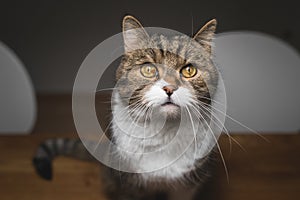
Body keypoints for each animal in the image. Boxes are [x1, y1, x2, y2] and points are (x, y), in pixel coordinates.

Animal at [33, 15, 220, 200]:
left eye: (189, 70)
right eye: (148, 69)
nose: (169, 88)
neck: (165, 132)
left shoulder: (187, 186)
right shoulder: (127, 184)